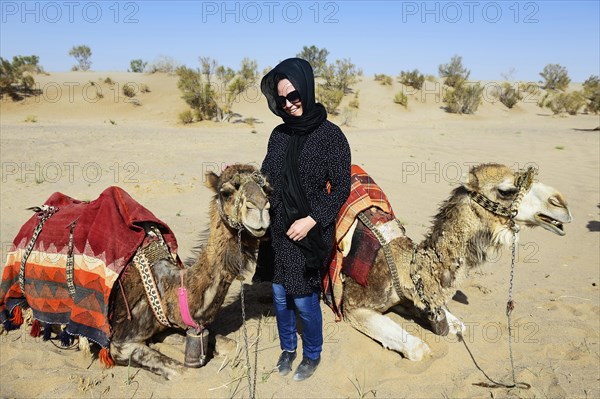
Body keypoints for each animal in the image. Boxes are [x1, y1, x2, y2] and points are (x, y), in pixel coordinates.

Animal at [342, 164, 572, 360]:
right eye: (506, 190)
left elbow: (457, 324)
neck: (406, 266)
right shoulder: (353, 305)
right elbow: (419, 349)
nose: (560, 203)